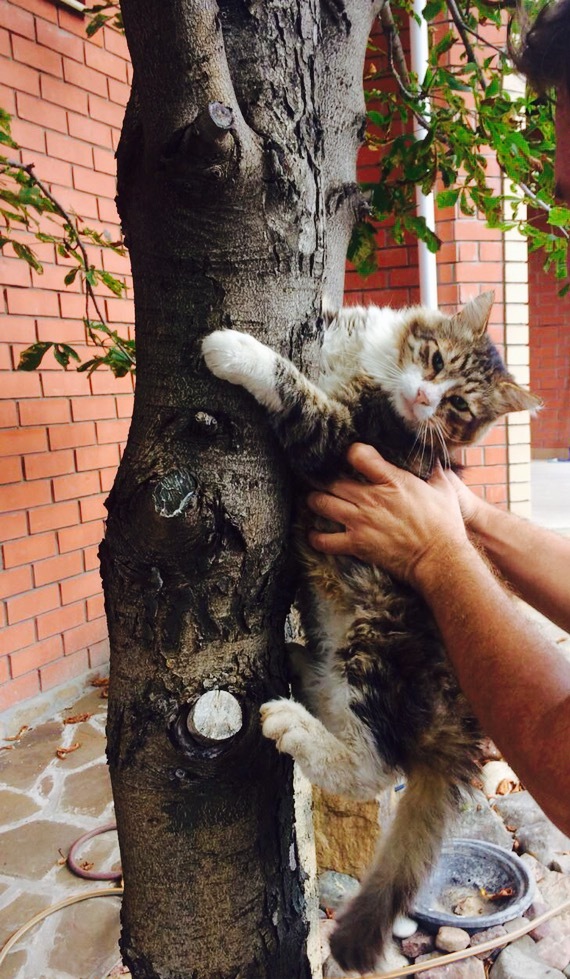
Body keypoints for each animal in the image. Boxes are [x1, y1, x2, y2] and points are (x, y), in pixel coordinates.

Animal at [202, 294, 540, 976]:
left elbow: (294, 388)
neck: (378, 370)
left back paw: (291, 723)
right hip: (347, 652)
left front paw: (234, 350)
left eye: (460, 408)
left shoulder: (342, 442)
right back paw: (298, 666)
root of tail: (458, 720)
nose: (426, 400)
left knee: (376, 767)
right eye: (435, 360)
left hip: (375, 643)